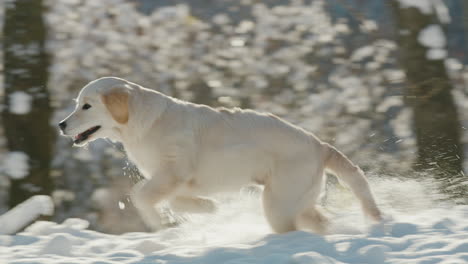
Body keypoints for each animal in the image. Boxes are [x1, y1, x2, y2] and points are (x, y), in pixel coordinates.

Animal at [59, 76, 380, 233]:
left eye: (86, 106)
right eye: (76, 104)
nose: (61, 125)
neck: (143, 123)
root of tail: (319, 144)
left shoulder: (173, 171)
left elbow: (140, 194)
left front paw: (159, 223)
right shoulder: (176, 180)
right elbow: (174, 200)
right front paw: (207, 207)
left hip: (279, 201)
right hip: (295, 200)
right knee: (320, 222)